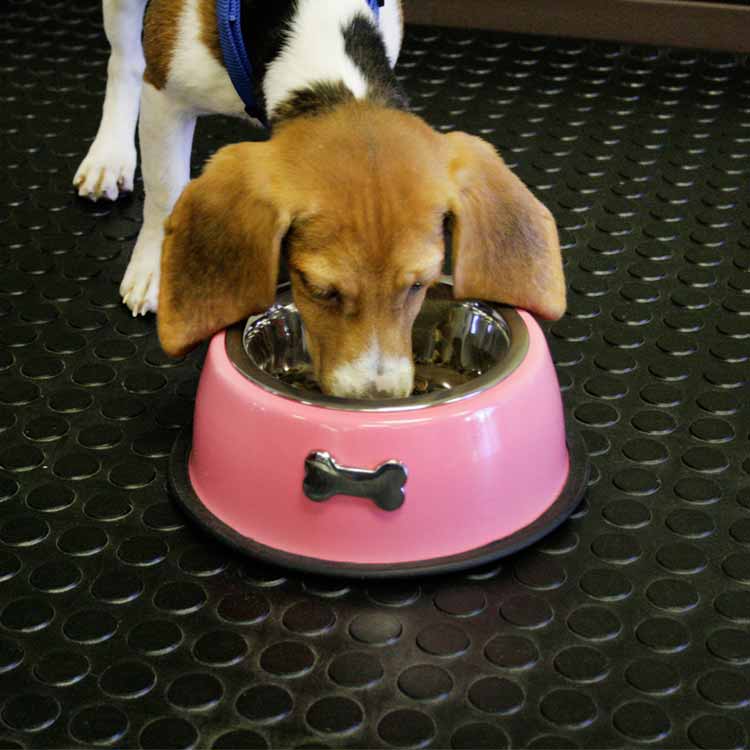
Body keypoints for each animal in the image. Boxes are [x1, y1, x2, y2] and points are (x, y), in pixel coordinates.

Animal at [76, 0, 568, 400]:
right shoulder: (166, 94)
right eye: (318, 290)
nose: (374, 397)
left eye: (419, 286)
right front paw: (154, 270)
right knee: (125, 60)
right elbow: (165, 191)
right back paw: (109, 154)